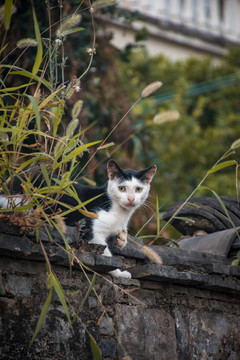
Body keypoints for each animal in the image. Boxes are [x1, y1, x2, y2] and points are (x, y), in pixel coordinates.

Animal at [0, 160, 158, 278]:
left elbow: (121, 233)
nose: (131, 199)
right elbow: (106, 255)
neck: (120, 212)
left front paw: (121, 239)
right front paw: (118, 272)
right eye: (122, 188)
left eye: (138, 189)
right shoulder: (90, 228)